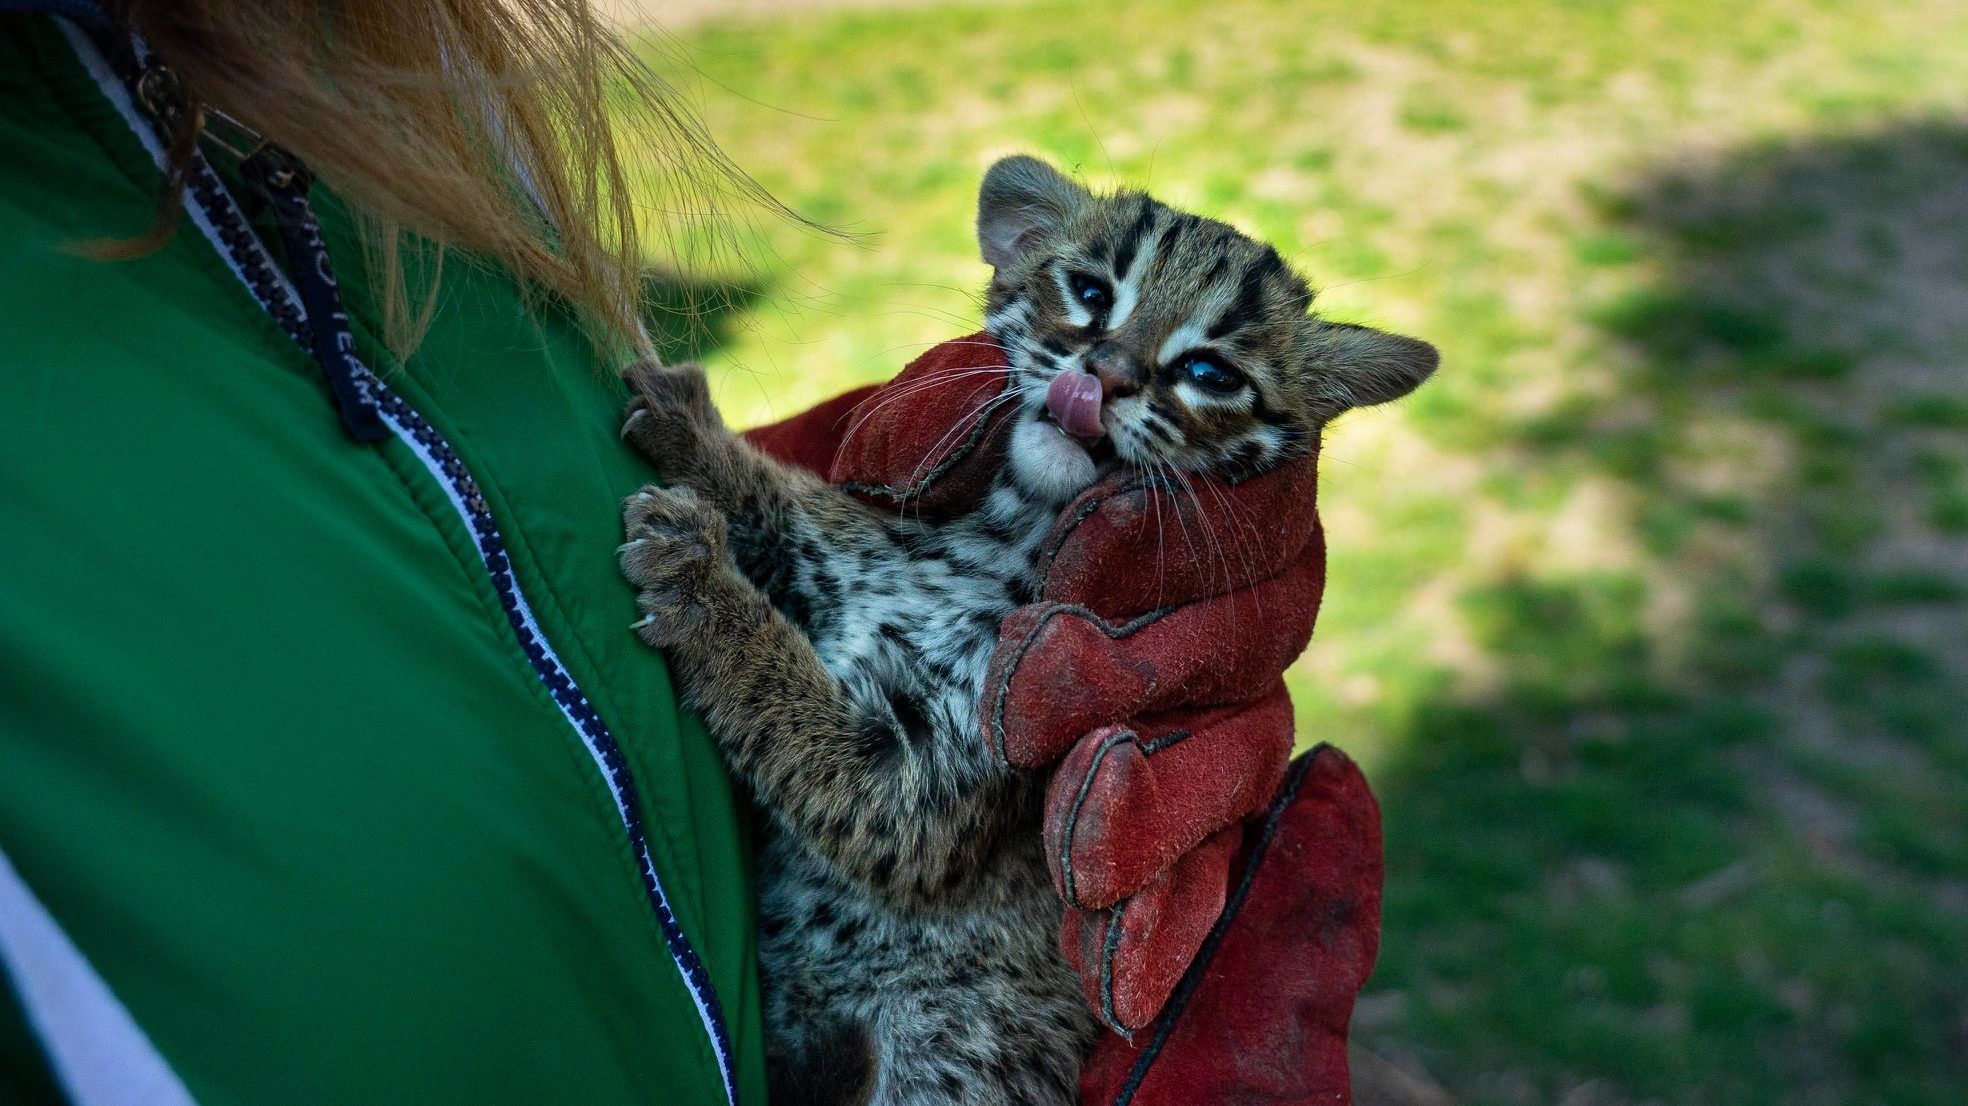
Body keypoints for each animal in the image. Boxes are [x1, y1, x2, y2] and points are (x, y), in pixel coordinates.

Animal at [614, 155, 1432, 1102]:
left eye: (1211, 373)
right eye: (1091, 291)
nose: (1103, 373)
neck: (1008, 527)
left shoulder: (926, 780)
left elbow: (787, 699)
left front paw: (697, 577)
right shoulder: (844, 558)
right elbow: (786, 505)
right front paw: (694, 435)